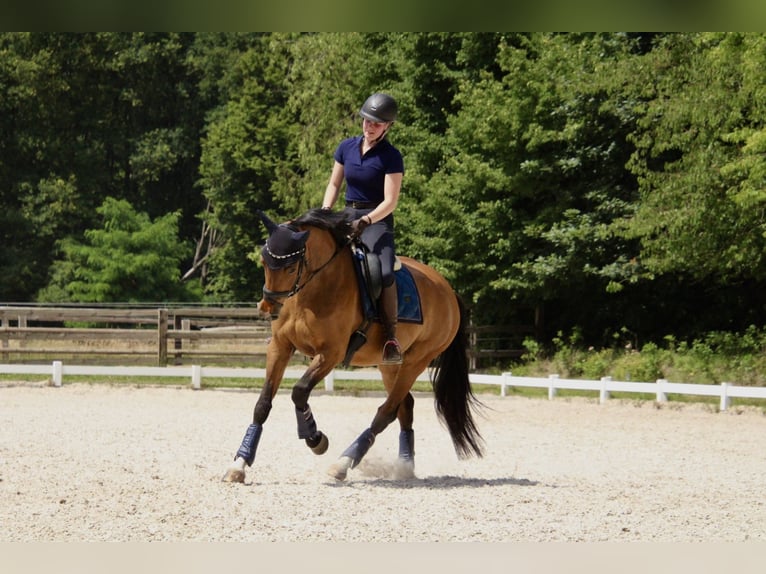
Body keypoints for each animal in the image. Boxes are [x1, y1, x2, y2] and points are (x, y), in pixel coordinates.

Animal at [224, 209, 486, 484]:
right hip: (390, 365)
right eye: (264, 262)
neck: (314, 289)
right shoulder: (280, 346)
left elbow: (299, 391)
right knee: (405, 407)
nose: (268, 307)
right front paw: (239, 464)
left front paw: (315, 439)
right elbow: (263, 404)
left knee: (387, 411)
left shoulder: (331, 353)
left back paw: (343, 462)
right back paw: (404, 467)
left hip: (417, 361)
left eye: (291, 266)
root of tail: (448, 290)